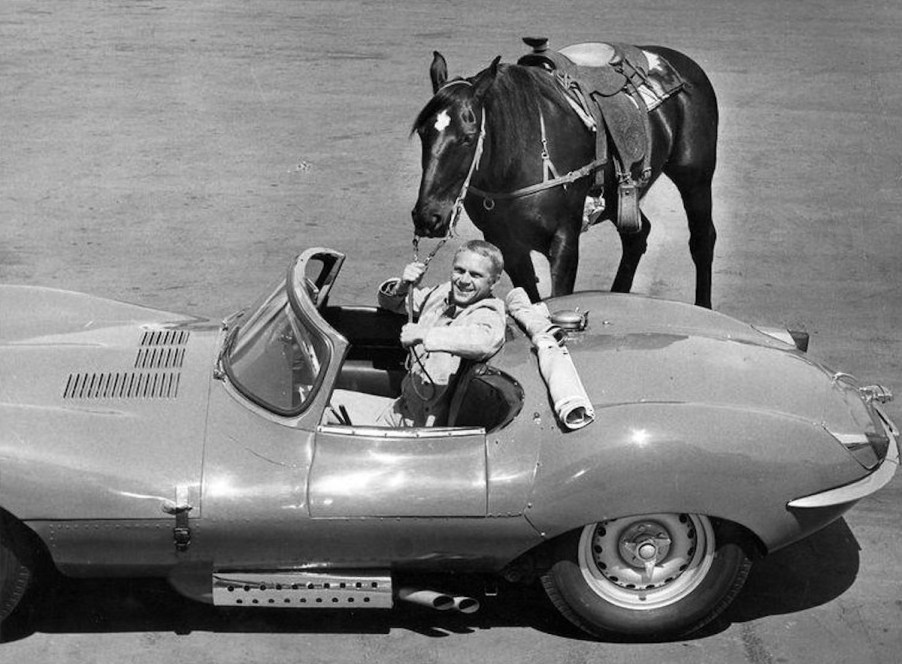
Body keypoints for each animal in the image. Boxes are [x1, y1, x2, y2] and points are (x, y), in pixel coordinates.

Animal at [412, 46, 720, 306]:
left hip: (695, 179)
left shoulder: (564, 240)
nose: (428, 217)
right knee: (637, 235)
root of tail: (682, 63)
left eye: (468, 137)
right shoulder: (507, 245)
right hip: (619, 200)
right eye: (423, 132)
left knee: (702, 239)